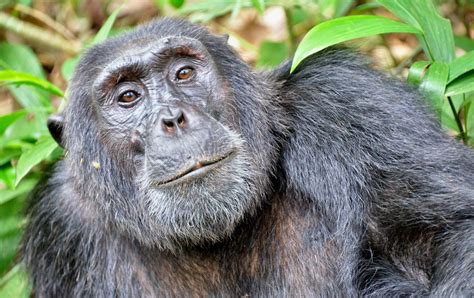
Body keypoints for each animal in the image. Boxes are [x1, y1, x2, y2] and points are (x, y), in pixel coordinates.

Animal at [22, 18, 474, 296]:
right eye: (128, 97)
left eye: (183, 73)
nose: (173, 118)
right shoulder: (61, 229)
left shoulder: (348, 105)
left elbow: (456, 227)